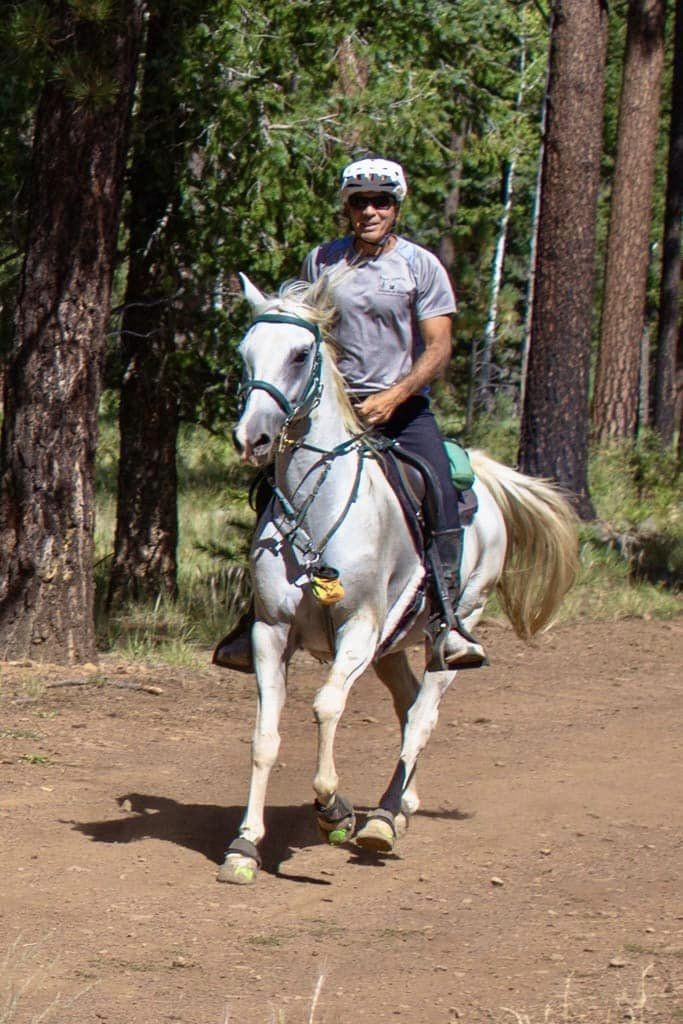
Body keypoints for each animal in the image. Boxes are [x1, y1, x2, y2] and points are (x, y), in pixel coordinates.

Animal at [218, 276, 577, 884]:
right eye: (245, 353)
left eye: (301, 353)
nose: (254, 439)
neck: (321, 510)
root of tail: (485, 473)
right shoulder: (271, 631)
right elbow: (264, 737)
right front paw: (244, 845)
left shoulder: (359, 630)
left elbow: (327, 707)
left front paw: (333, 811)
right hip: (391, 649)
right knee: (408, 707)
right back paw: (402, 804)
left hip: (451, 627)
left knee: (423, 717)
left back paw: (382, 820)